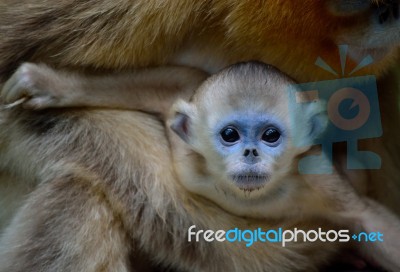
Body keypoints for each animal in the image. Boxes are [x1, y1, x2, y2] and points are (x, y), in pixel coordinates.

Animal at [2, 61, 400, 272]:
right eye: (230, 135)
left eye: (271, 135)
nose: (251, 152)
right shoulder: (183, 130)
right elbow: (174, 79)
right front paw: (52, 85)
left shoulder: (319, 180)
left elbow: (367, 219)